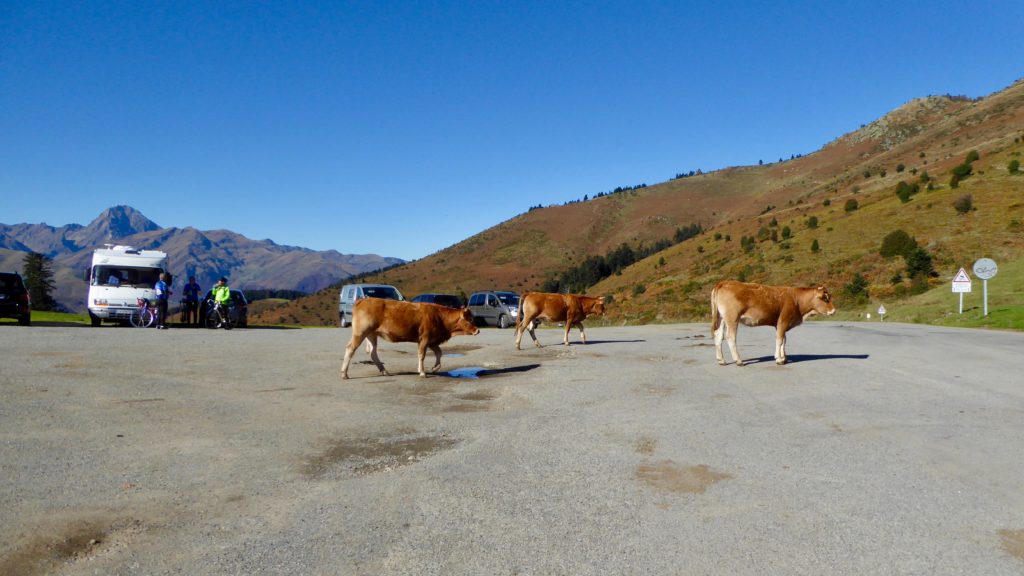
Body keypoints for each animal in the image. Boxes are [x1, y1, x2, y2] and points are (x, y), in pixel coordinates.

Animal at [337, 297, 477, 379]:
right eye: (470, 319)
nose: (478, 330)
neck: (439, 317)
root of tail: (363, 299)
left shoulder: (432, 340)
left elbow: (439, 352)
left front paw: (435, 368)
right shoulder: (425, 338)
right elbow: (422, 355)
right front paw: (422, 372)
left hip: (371, 334)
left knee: (373, 353)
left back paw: (384, 371)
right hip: (360, 333)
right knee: (350, 349)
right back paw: (344, 373)